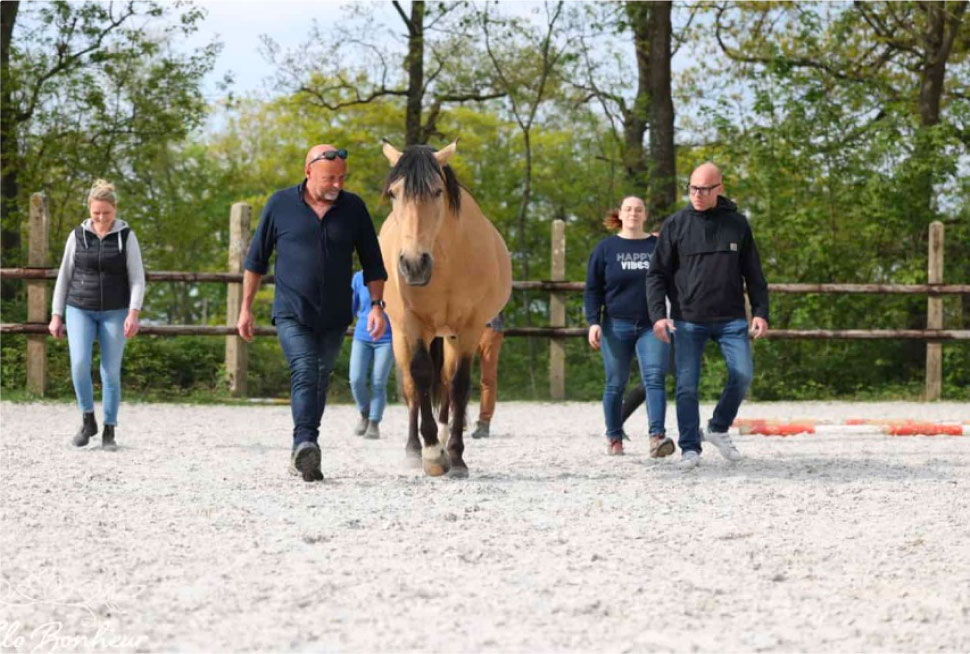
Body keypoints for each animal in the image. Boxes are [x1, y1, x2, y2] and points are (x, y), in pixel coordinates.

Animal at [378, 141, 516, 480]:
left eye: (437, 191)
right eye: (394, 193)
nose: (414, 264)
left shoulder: (469, 329)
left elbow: (458, 384)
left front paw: (455, 456)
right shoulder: (413, 325)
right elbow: (421, 375)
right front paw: (431, 455)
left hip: (449, 336)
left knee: (446, 380)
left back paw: (442, 438)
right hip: (403, 335)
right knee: (413, 386)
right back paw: (414, 449)